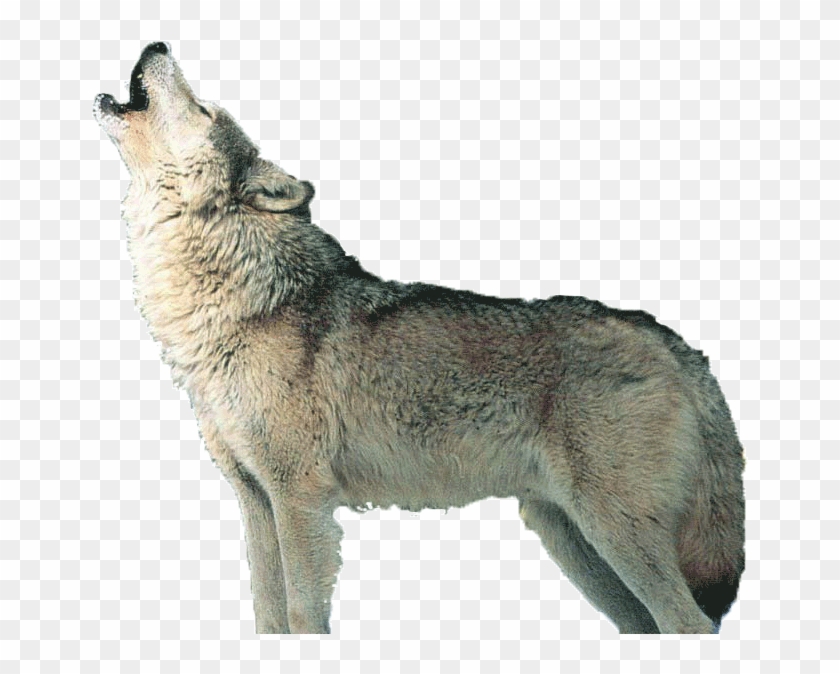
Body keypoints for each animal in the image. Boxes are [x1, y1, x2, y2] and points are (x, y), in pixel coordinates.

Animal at [94, 42, 745, 634]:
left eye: (203, 108)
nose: (157, 44)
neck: (238, 300)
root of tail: (678, 344)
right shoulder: (255, 498)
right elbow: (267, 616)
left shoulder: (299, 496)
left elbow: (303, 615)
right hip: (577, 545)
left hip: (614, 533)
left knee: (690, 624)